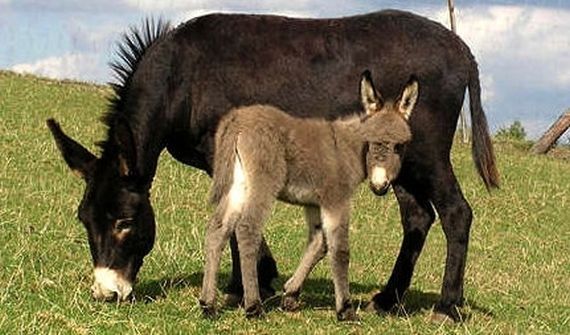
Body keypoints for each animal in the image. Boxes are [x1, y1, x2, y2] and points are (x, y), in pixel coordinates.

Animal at [200, 72, 418, 322]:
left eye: (399, 146)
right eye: (371, 142)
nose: (380, 185)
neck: (348, 148)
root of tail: (237, 119)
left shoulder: (314, 202)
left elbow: (318, 243)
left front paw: (291, 295)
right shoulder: (336, 200)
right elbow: (339, 251)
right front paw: (345, 309)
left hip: (238, 184)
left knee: (218, 229)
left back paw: (208, 304)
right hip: (263, 183)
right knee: (247, 228)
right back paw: (253, 306)